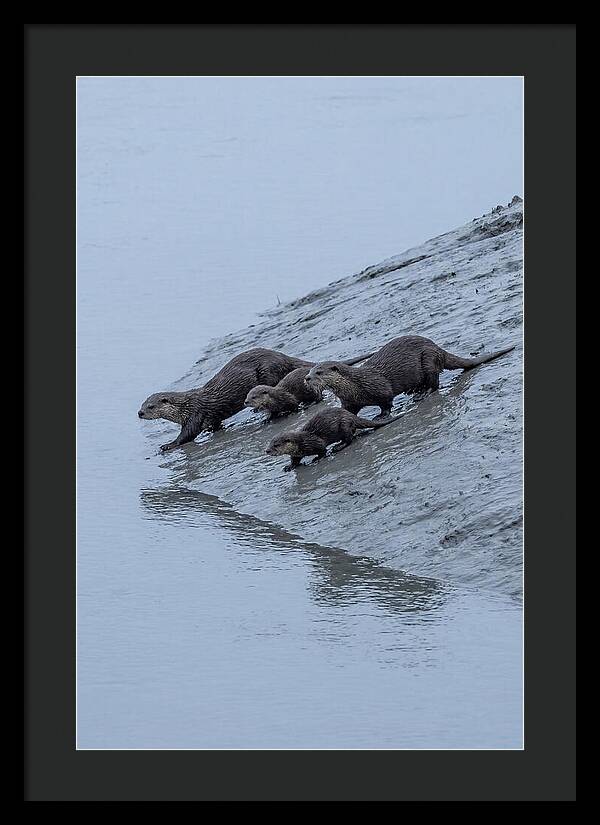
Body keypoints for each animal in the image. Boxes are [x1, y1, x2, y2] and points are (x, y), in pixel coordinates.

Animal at [243, 352, 374, 418]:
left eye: (253, 397)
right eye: (247, 396)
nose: (245, 402)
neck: (275, 398)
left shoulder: (288, 398)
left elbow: (294, 405)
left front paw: (292, 411)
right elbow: (272, 413)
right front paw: (269, 418)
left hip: (313, 389)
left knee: (319, 396)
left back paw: (311, 403)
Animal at [265, 407, 398, 471]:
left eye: (276, 445)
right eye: (270, 443)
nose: (267, 450)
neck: (301, 443)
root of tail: (350, 415)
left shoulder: (315, 442)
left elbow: (322, 450)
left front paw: (316, 459)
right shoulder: (296, 454)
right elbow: (295, 461)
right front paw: (289, 466)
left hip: (344, 425)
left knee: (349, 439)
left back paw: (338, 447)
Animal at [305, 335, 515, 417]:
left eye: (319, 372)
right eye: (309, 371)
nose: (306, 378)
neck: (355, 385)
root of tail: (438, 349)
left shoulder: (380, 387)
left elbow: (386, 401)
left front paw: (381, 416)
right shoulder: (349, 402)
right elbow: (348, 412)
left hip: (428, 359)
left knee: (434, 382)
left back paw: (423, 393)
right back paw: (415, 390)